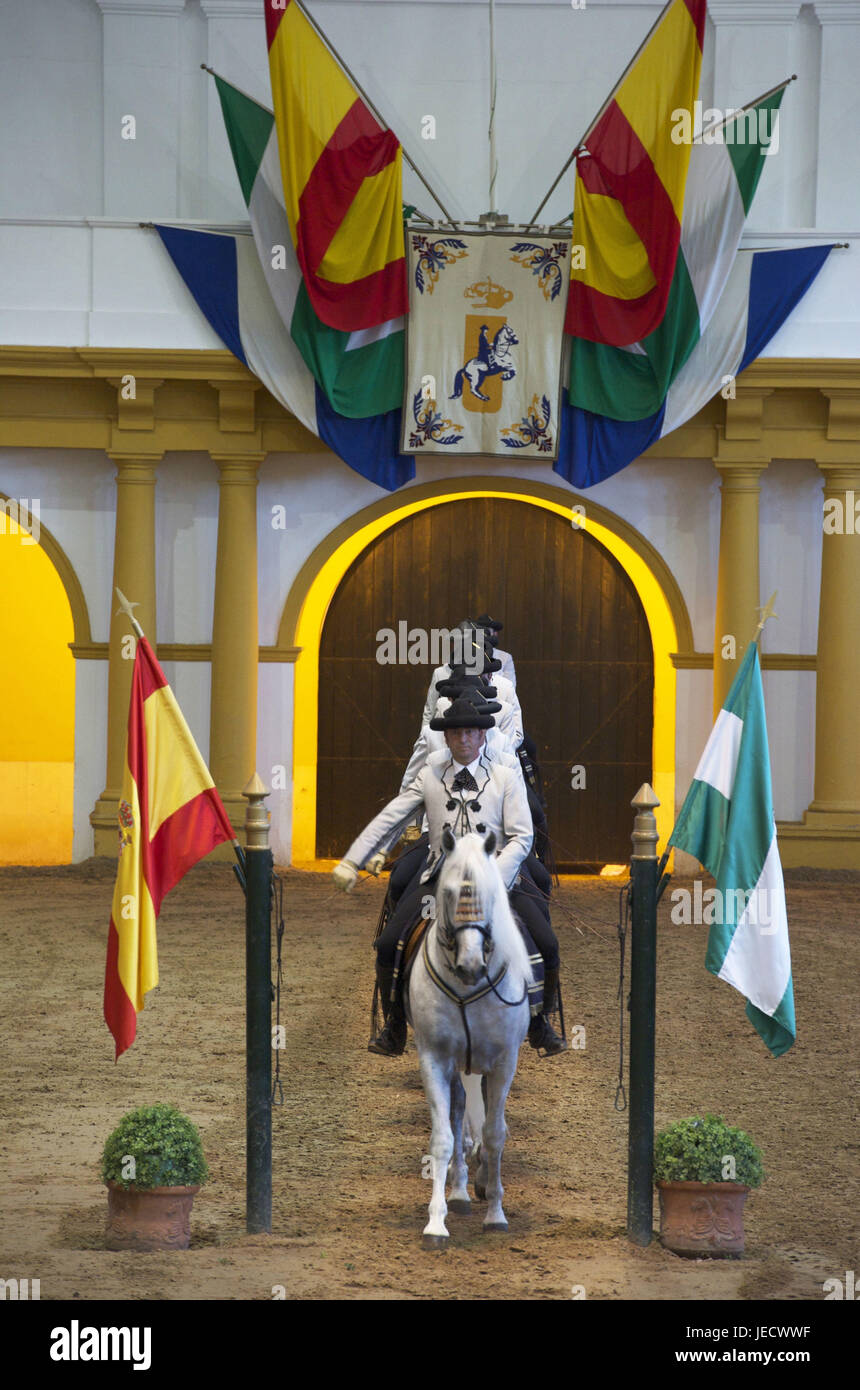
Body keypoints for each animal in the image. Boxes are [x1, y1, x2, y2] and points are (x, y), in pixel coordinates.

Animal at [402, 822, 530, 1251]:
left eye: (492, 895)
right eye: (447, 892)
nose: (471, 965)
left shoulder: (504, 1061)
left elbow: (495, 1133)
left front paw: (496, 1214)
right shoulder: (435, 1058)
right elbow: (443, 1136)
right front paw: (435, 1223)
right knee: (459, 1113)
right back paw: (458, 1191)